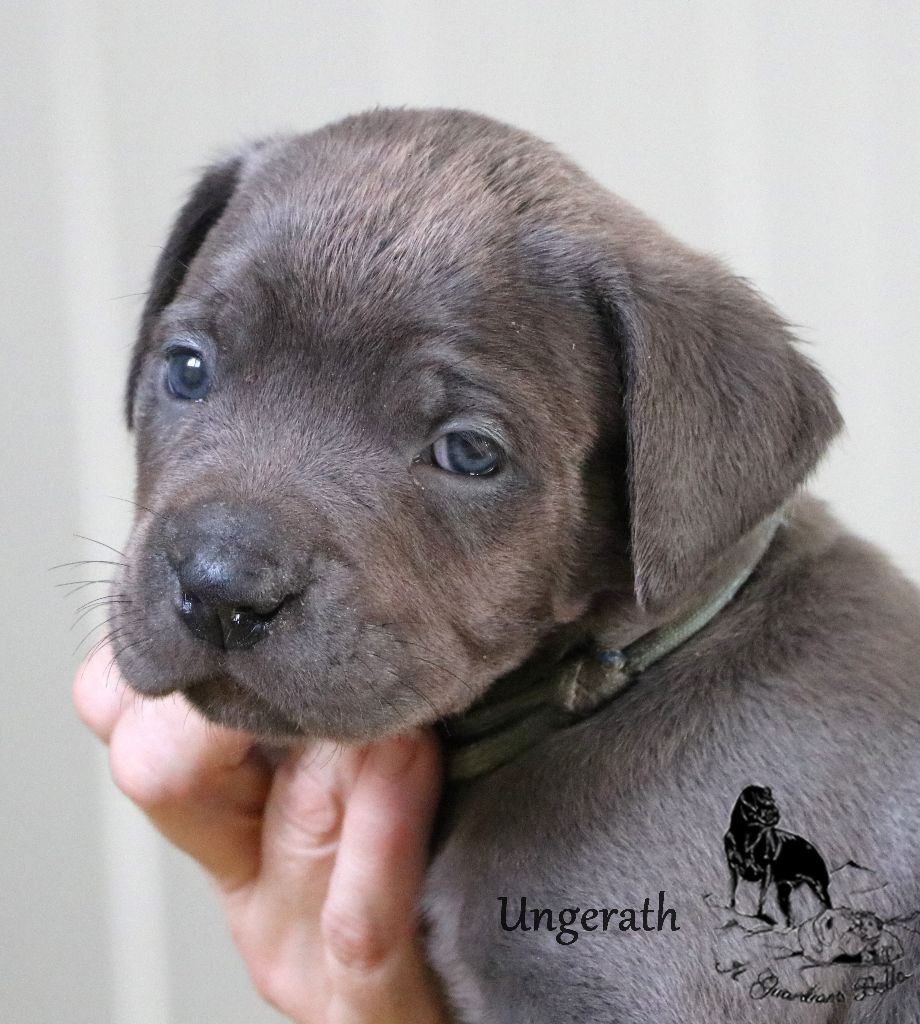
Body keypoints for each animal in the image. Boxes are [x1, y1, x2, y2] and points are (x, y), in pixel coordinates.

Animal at [724, 785, 832, 926]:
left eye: (773, 802)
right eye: (763, 804)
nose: (775, 811)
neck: (747, 836)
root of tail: (813, 849)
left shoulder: (766, 871)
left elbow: (761, 896)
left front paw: (761, 915)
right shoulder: (732, 868)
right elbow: (732, 888)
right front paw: (730, 905)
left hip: (818, 885)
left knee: (827, 904)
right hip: (784, 890)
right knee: (789, 912)